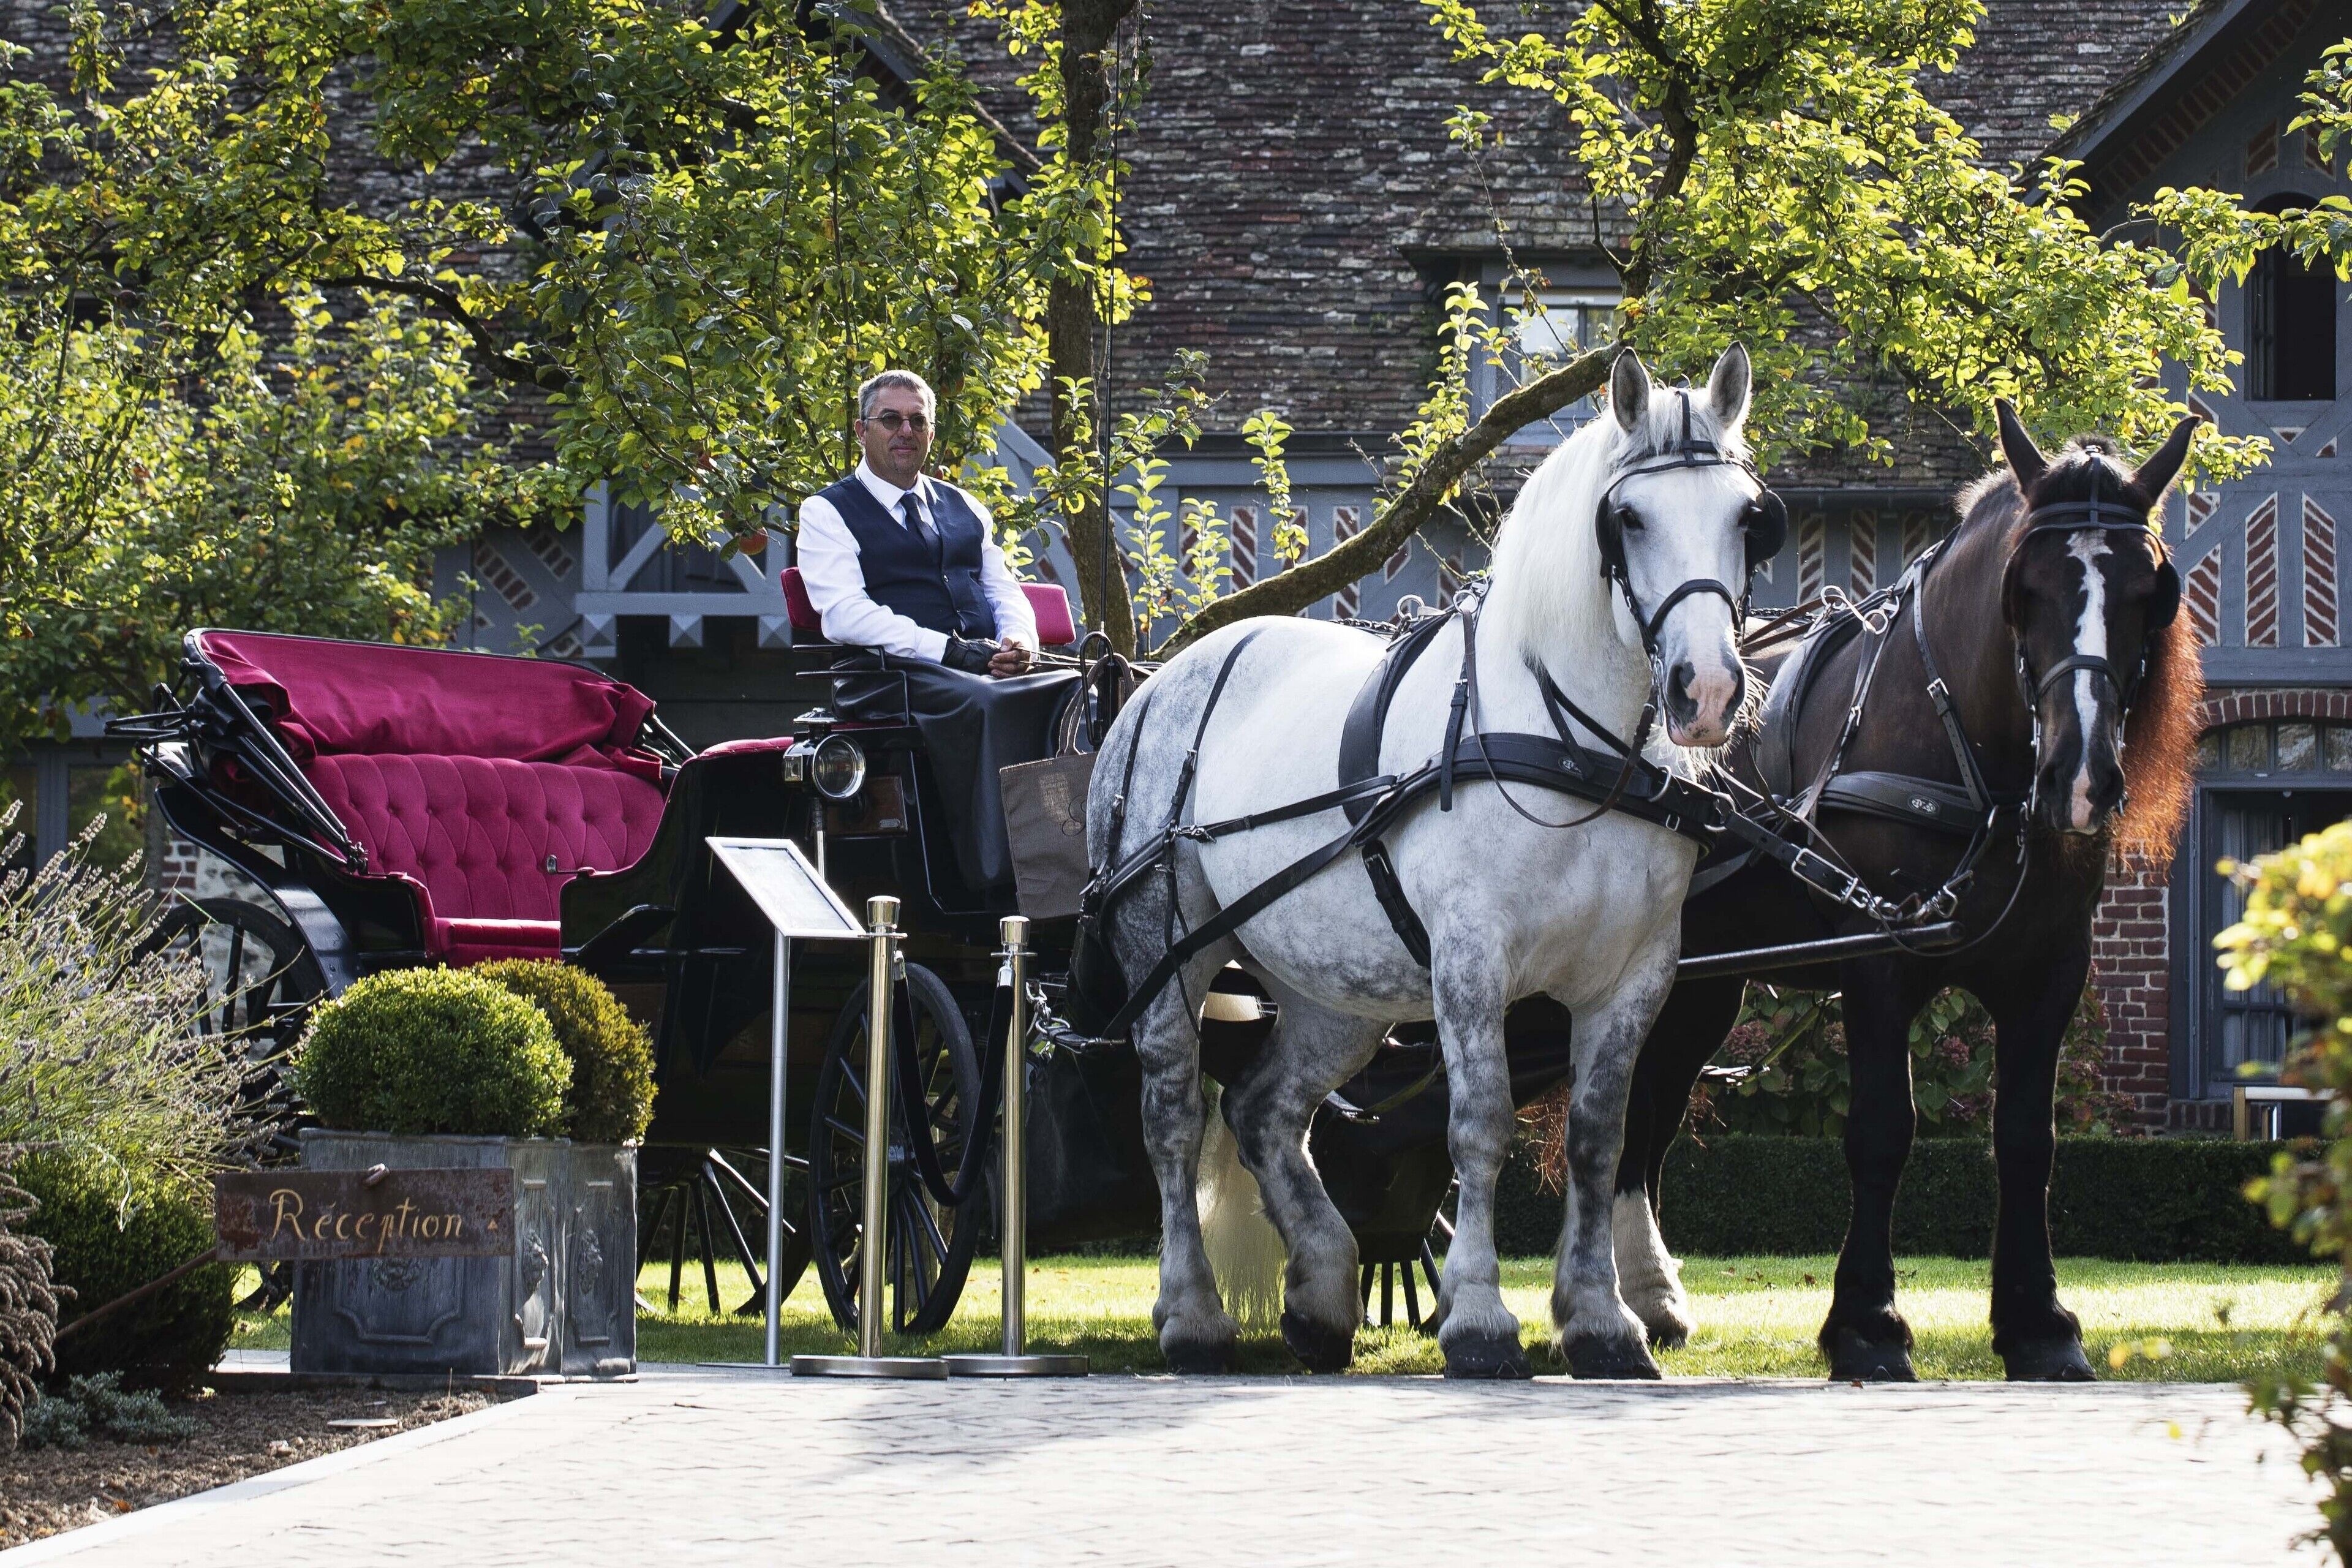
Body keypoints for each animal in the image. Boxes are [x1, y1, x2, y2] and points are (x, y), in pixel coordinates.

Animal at [1085, 344, 1773, 1378]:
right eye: (1630, 519)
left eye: (1746, 517)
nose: (1709, 692)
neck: (1569, 746)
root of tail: (1156, 682)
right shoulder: (1472, 963)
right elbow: (1481, 1124)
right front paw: (1481, 1317)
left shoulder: (1634, 979)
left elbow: (1597, 1141)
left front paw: (1601, 1320)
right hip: (1164, 952)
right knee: (1171, 1120)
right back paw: (1193, 1313)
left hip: (1337, 996)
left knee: (1263, 1110)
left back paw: (1322, 1292)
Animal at [1609, 401, 2202, 1381]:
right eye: (2024, 588)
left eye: (2149, 592)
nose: (2080, 778)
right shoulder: (1879, 965)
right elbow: (1883, 1130)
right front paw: (1867, 1323)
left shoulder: (2050, 973)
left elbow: (2028, 1139)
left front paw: (2039, 1322)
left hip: (1699, 982)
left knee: (1644, 1105)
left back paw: (1646, 1297)